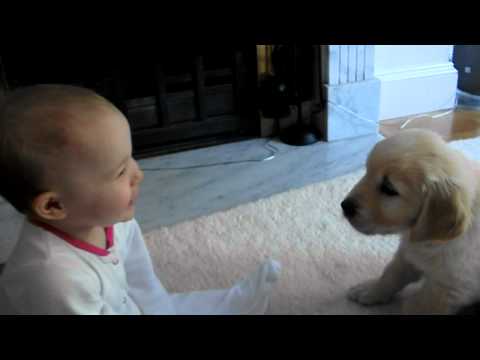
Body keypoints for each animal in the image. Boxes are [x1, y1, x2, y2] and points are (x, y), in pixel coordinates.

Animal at [344, 129, 480, 316]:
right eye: (366, 172)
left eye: (389, 189)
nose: (344, 206)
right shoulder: (408, 253)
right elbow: (391, 274)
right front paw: (371, 290)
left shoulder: (452, 288)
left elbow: (417, 306)